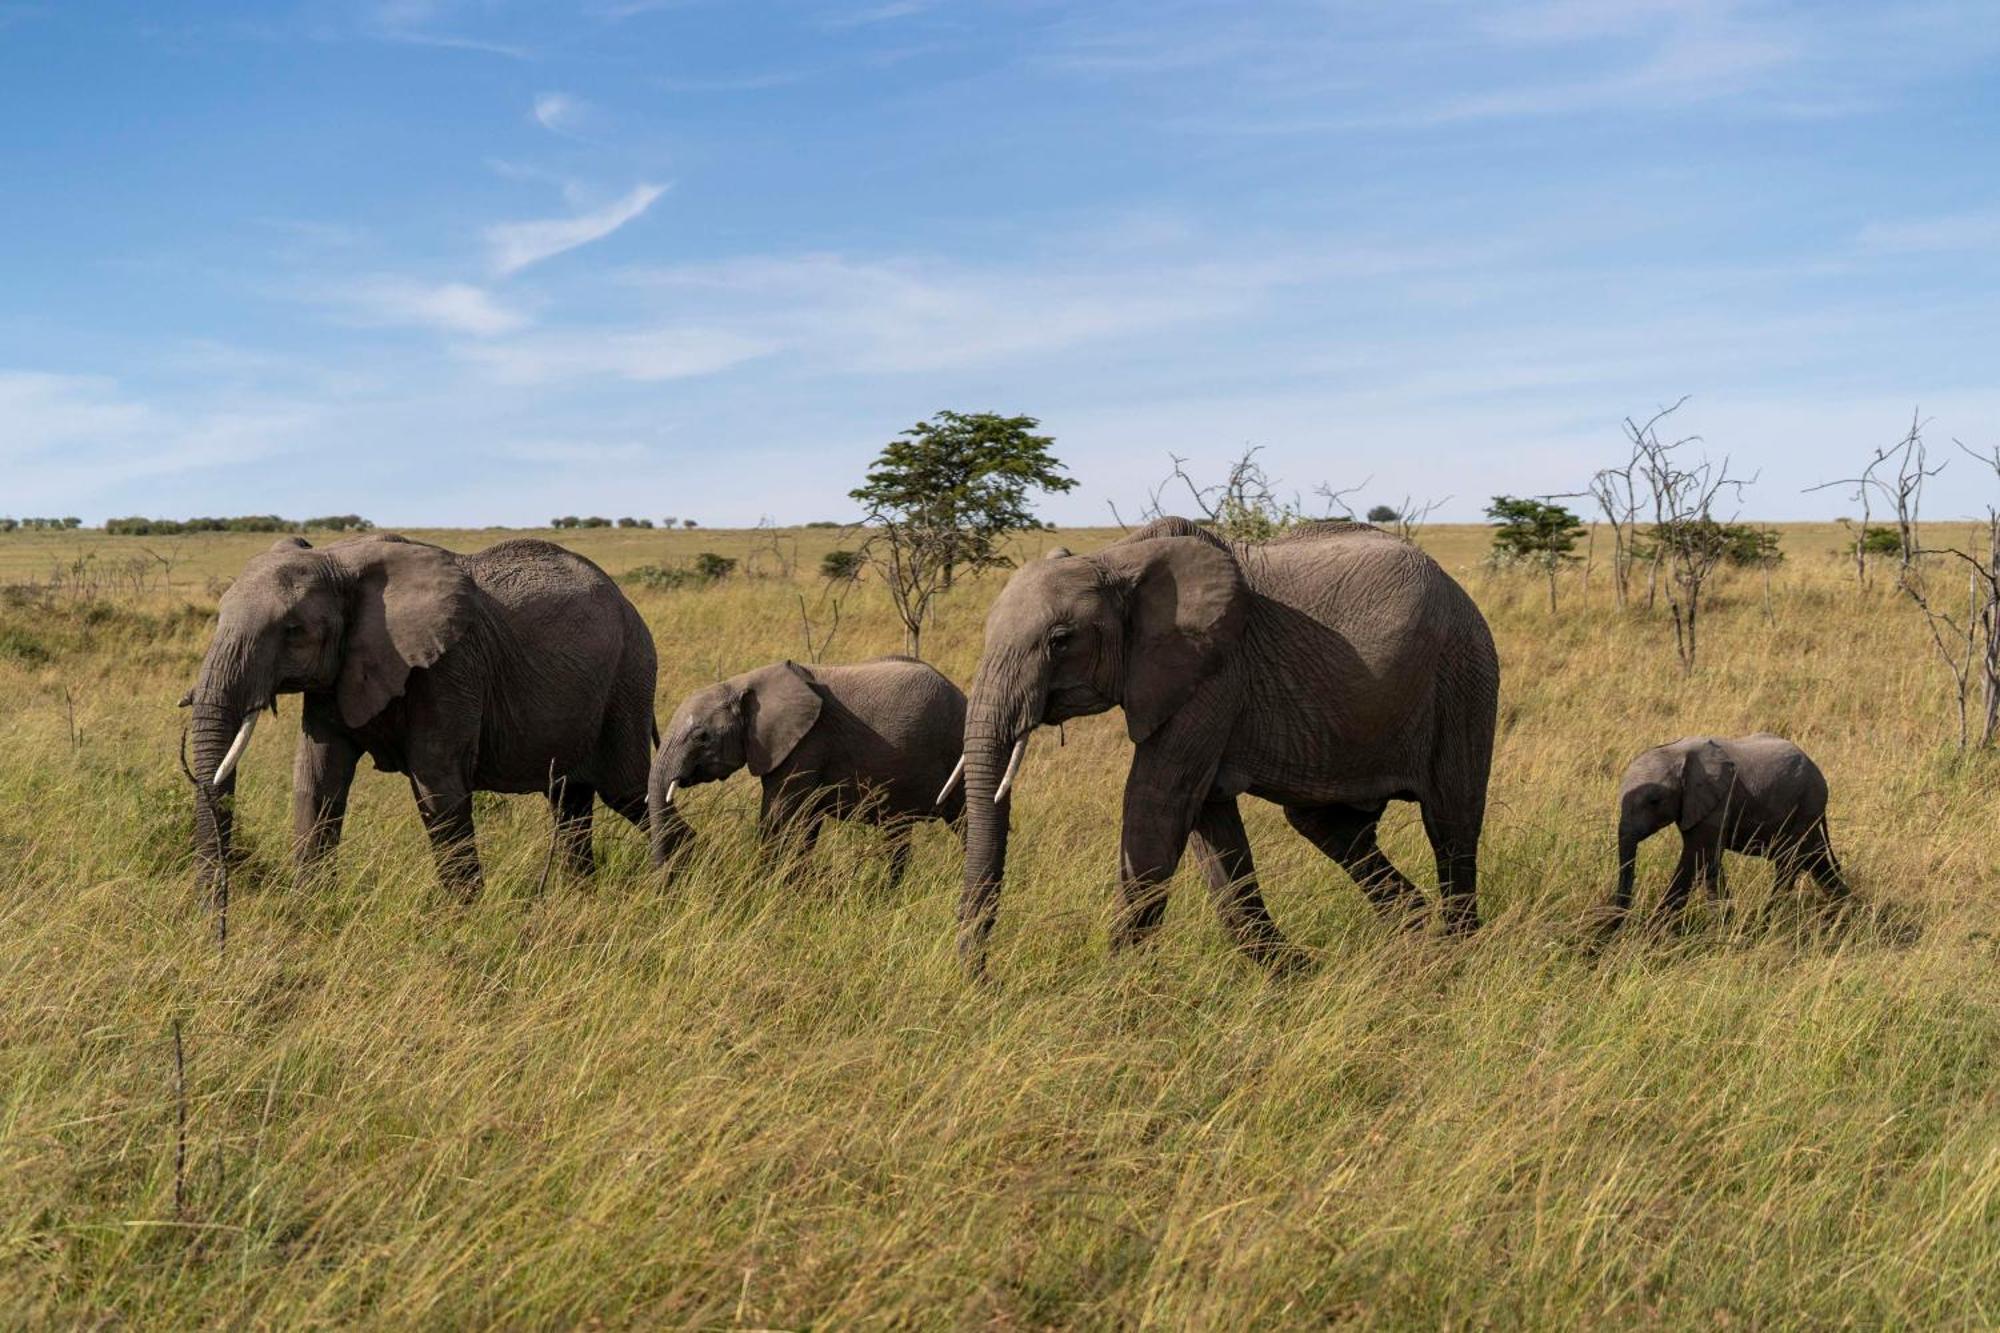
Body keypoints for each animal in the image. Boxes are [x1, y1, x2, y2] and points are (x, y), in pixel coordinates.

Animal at [186, 536, 656, 896]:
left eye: (293, 631)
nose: (218, 929)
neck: (339, 560)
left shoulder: (450, 667)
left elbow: (438, 786)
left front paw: (464, 921)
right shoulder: (337, 677)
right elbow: (317, 782)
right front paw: (311, 913)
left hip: (629, 678)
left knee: (630, 791)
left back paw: (668, 886)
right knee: (569, 802)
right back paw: (580, 899)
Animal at [652, 652, 964, 880]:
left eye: (702, 737)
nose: (691, 838)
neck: (744, 683)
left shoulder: (806, 742)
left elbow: (779, 817)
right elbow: (805, 823)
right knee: (896, 836)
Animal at [956, 512, 1504, 972]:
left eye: (1060, 640)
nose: (982, 978)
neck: (1117, 558)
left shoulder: (1212, 672)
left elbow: (1157, 802)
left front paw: (1112, 988)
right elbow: (1209, 823)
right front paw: (1293, 975)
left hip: (1463, 676)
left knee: (1450, 822)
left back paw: (1455, 953)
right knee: (1326, 824)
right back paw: (1414, 930)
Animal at [1600, 728, 1848, 932]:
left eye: (1654, 801)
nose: (1614, 930)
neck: (1675, 753)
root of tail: (1817, 769)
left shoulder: (1717, 800)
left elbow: (1697, 856)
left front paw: (1654, 931)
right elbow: (1708, 860)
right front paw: (1723, 922)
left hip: (1807, 803)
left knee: (1789, 860)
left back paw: (1768, 921)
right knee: (1814, 858)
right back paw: (1846, 910)